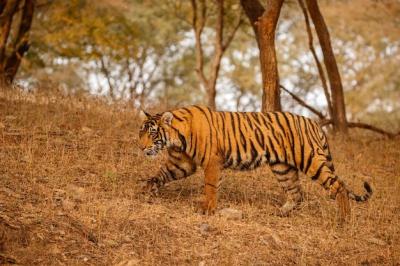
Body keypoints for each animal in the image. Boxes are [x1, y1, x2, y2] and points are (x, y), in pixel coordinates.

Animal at [138, 105, 372, 221]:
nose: (141, 147)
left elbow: (210, 187)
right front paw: (148, 190)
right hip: (283, 168)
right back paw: (281, 214)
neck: (177, 139)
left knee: (339, 186)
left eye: (152, 134)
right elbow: (160, 174)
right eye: (141, 132)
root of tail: (314, 123)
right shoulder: (182, 163)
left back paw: (344, 219)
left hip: (310, 159)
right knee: (297, 194)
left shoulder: (212, 162)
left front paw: (207, 209)